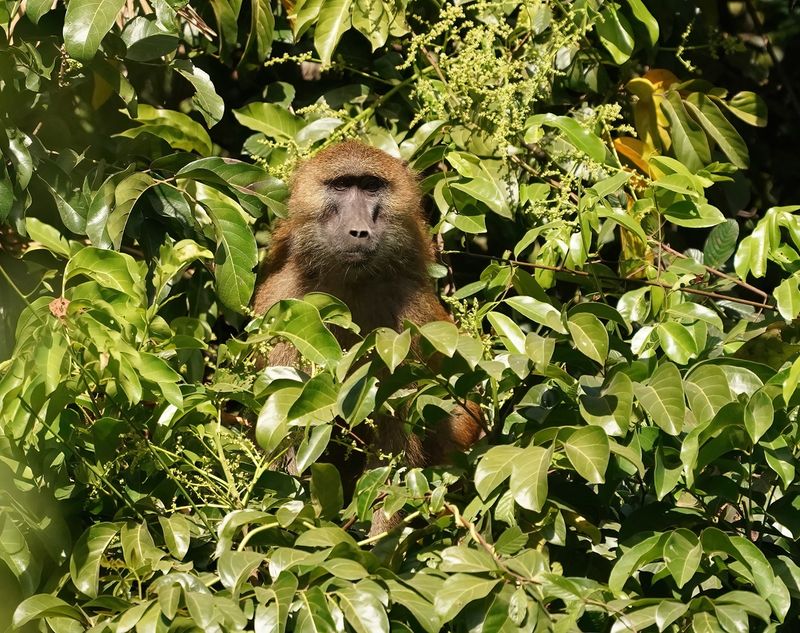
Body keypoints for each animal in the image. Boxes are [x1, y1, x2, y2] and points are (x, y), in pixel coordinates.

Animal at [252, 140, 483, 525]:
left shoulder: (407, 321)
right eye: (342, 186)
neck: (350, 284)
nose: (359, 231)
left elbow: (395, 436)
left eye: (372, 186)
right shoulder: (283, 305)